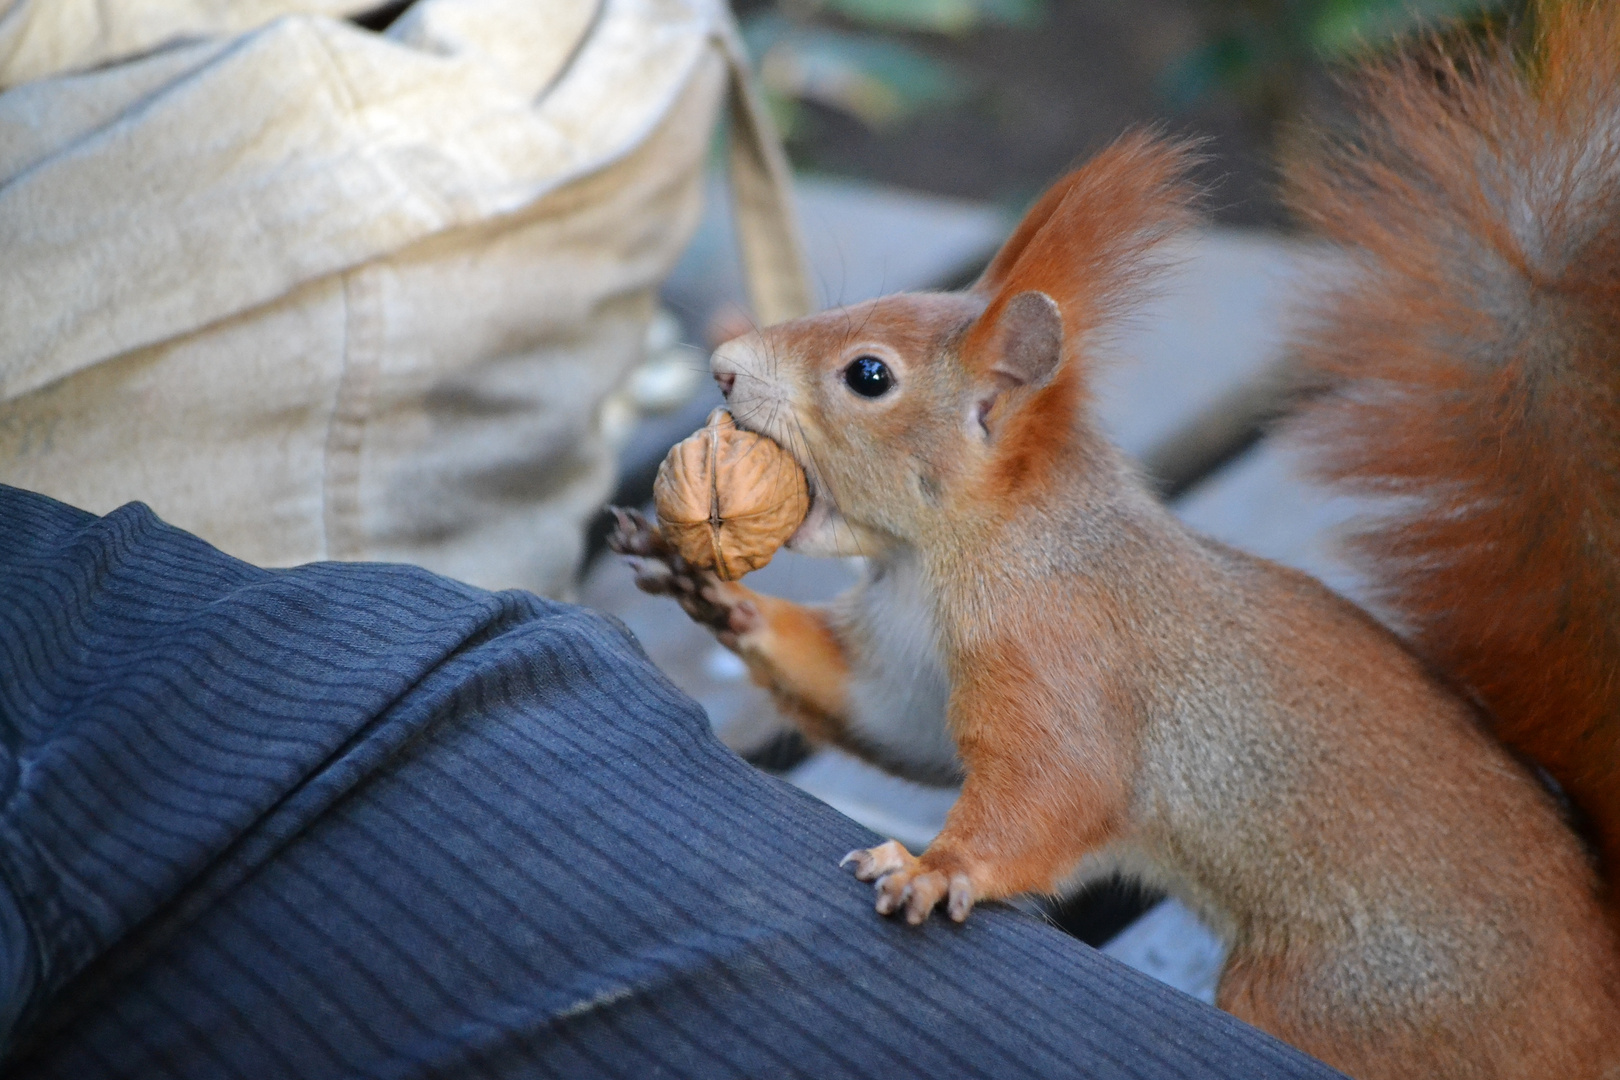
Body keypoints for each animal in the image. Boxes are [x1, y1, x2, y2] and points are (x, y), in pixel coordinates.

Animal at [609, 4, 1620, 1075]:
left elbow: (1054, 788)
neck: (943, 560)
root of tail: (1596, 999)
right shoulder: (909, 665)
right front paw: (713, 592)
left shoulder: (1063, 658)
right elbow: (882, 711)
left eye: (869, 376)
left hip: (1366, 1005)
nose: (722, 365)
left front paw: (935, 867)